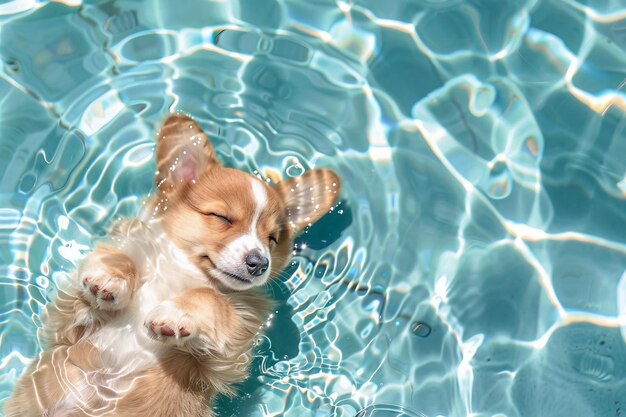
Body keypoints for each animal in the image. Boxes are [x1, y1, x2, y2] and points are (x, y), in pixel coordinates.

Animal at [4, 114, 338, 416]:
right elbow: (121, 259)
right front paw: (109, 278)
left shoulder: (223, 360)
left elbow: (210, 298)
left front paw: (175, 314)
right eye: (221, 217)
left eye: (271, 239)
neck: (182, 273)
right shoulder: (64, 324)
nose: (259, 263)